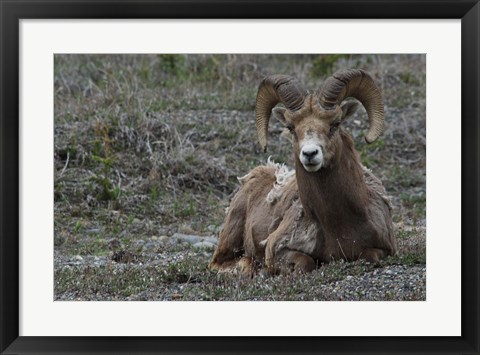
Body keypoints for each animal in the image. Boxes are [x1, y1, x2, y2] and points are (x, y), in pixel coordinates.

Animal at [210, 69, 398, 276]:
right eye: (291, 128)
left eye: (335, 124)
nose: (309, 154)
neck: (339, 224)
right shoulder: (277, 249)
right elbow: (304, 263)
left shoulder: (385, 249)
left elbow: (369, 256)